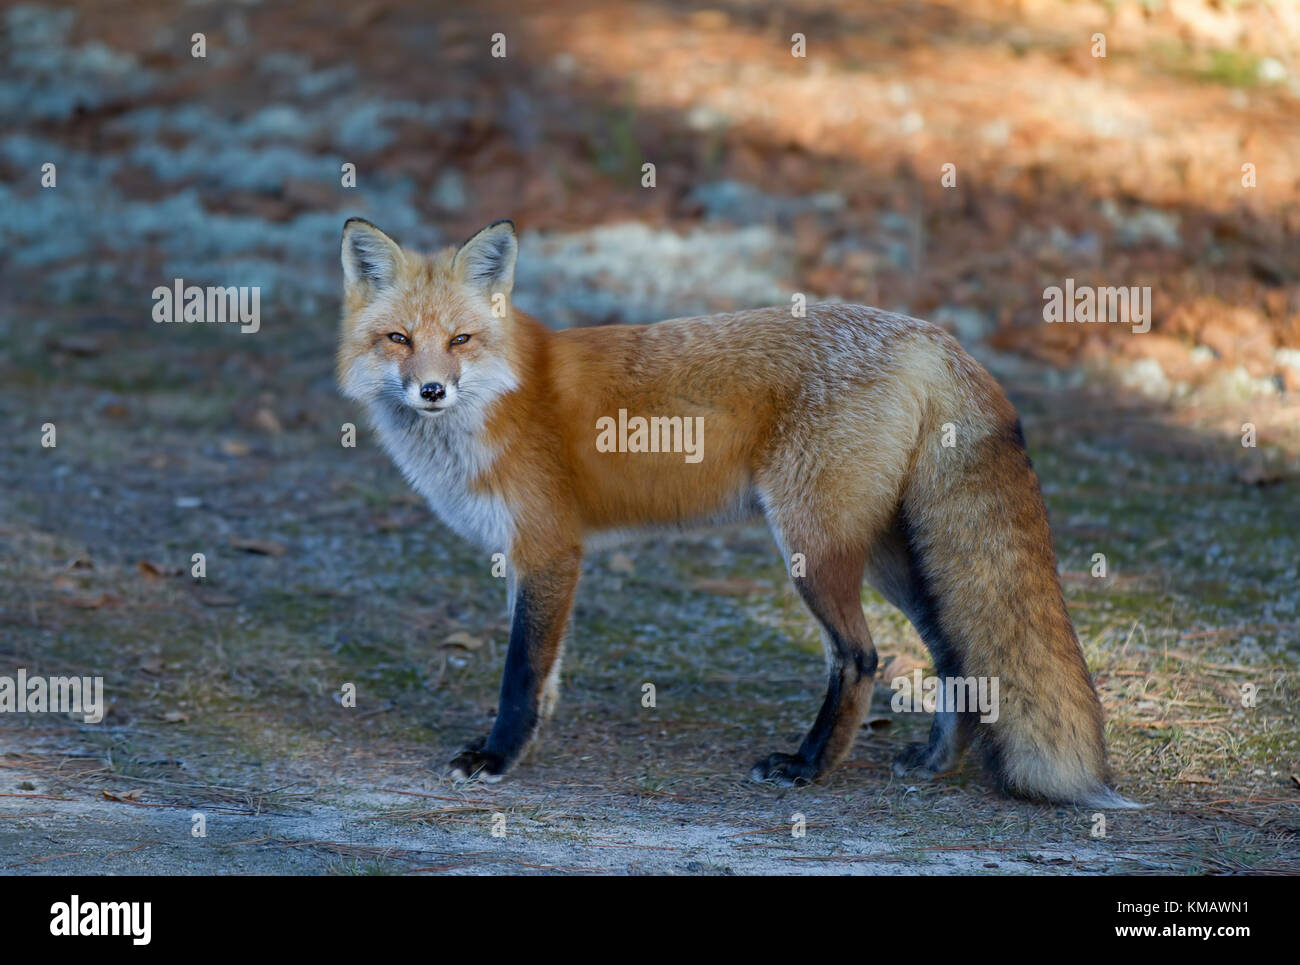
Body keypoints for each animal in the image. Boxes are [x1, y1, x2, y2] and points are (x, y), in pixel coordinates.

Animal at [336, 216, 1139, 809]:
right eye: (399, 339)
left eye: (460, 340)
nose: (431, 390)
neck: (497, 401)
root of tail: (928, 335)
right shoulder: (528, 559)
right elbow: (545, 674)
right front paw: (527, 743)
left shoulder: (550, 548)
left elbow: (520, 673)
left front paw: (499, 756)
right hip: (889, 556)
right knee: (951, 651)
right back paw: (934, 762)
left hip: (813, 548)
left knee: (862, 656)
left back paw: (809, 767)